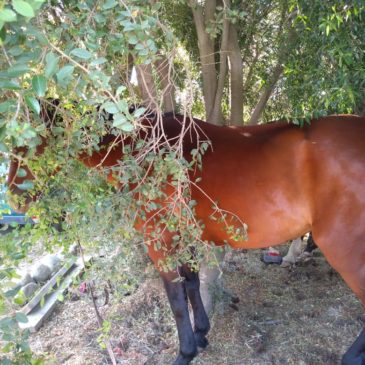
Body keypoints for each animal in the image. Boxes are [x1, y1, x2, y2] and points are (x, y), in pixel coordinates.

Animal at [6, 111, 365, 364]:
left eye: (27, 144)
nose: (13, 198)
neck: (146, 152)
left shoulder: (159, 240)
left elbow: (176, 298)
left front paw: (185, 352)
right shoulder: (183, 235)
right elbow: (191, 283)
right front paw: (202, 333)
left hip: (346, 250)